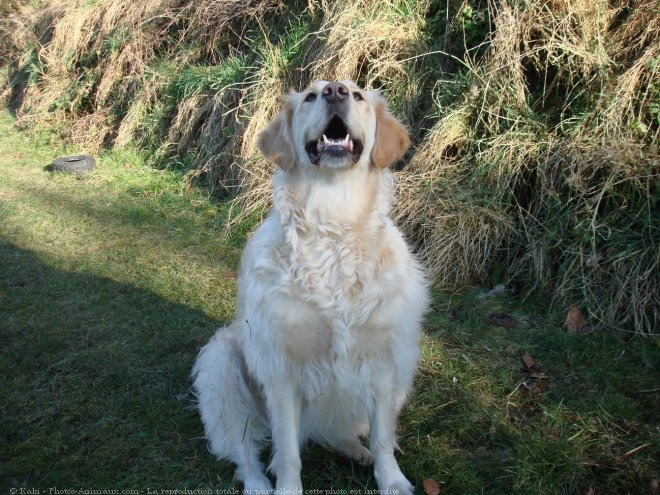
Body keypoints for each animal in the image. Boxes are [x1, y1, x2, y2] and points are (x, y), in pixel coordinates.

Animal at [192, 79, 428, 494]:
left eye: (358, 95)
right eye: (310, 96)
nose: (336, 91)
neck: (334, 223)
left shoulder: (384, 363)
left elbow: (383, 438)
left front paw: (392, 480)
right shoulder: (281, 369)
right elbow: (287, 451)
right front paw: (287, 488)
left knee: (336, 432)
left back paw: (356, 451)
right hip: (221, 370)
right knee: (244, 452)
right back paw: (258, 484)